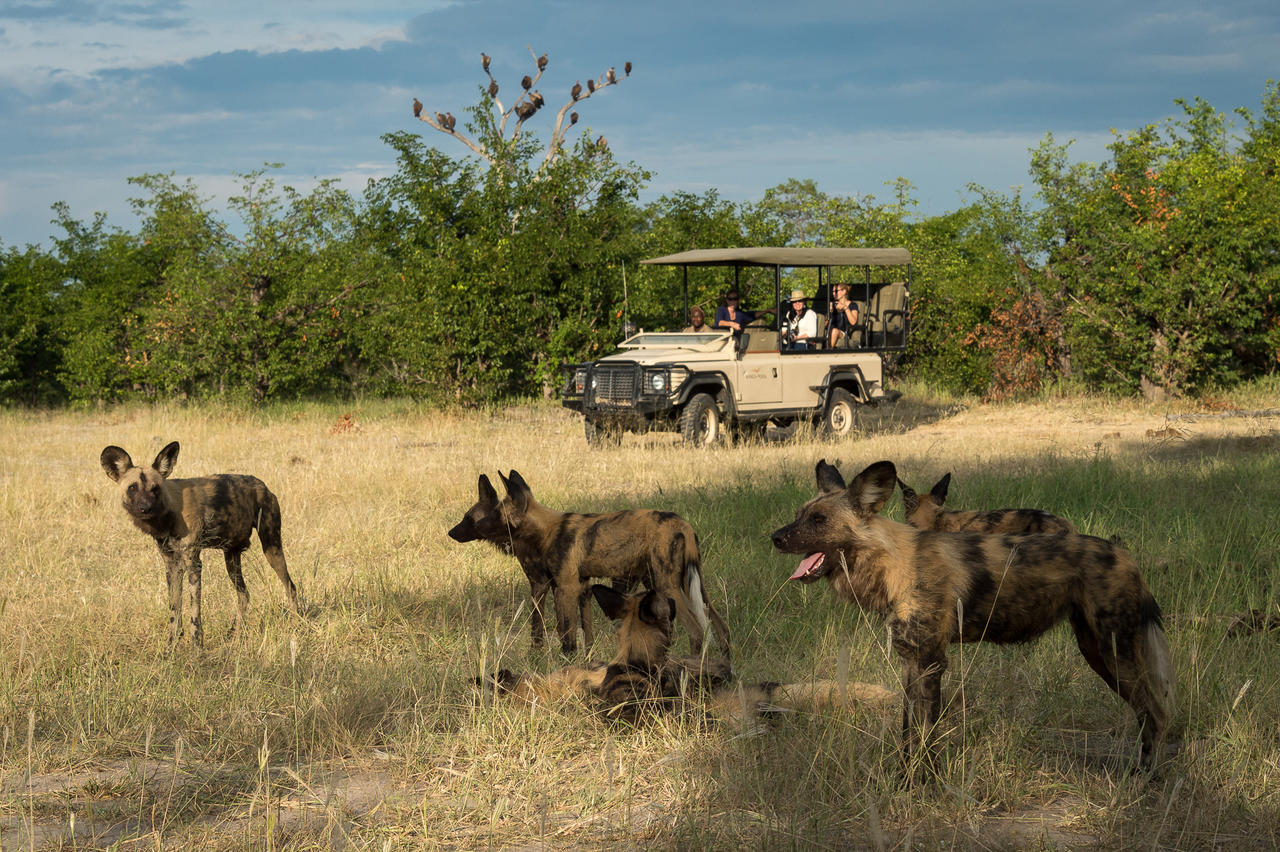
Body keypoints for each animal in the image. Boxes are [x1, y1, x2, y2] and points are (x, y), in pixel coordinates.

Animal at [99, 437, 299, 644]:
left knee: (290, 588)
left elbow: (195, 612)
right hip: (231, 559)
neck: (169, 514)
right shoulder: (172, 565)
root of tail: (263, 485)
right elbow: (174, 610)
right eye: (132, 488)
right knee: (244, 595)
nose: (145, 508)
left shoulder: (193, 562)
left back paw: (295, 627)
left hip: (272, 547)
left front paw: (196, 645)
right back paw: (235, 635)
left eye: (155, 489)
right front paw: (172, 645)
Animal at [448, 468, 732, 652]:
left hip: (667, 585)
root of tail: (683, 523)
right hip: (691, 587)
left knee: (698, 632)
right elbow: (587, 635)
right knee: (721, 628)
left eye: (477, 517)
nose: (450, 532)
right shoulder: (582, 589)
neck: (546, 531)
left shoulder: (564, 589)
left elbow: (566, 636)